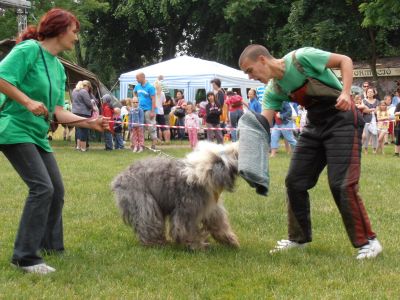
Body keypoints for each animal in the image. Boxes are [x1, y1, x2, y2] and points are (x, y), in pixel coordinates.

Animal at [111, 142, 239, 250]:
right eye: (222, 159)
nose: (237, 149)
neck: (201, 175)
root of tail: (119, 178)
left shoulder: (211, 208)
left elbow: (218, 224)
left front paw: (231, 241)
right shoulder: (187, 211)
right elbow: (186, 230)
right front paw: (198, 245)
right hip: (143, 203)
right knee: (148, 222)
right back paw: (156, 243)